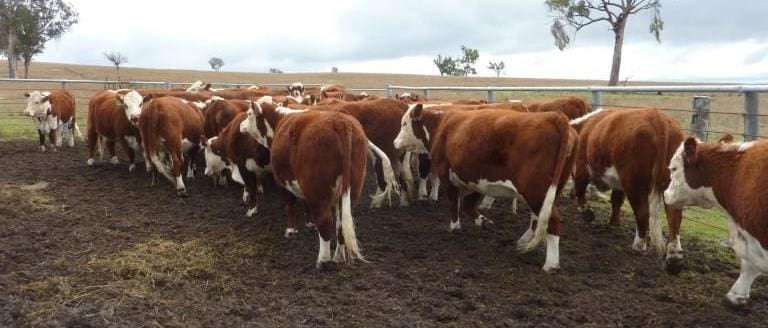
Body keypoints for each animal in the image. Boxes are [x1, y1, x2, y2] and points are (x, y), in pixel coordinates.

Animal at [243, 103, 400, 270]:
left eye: (249, 114)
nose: (241, 126)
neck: (279, 120)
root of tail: (341, 122)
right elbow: (306, 205)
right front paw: (309, 223)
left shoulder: (284, 183)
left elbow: (290, 206)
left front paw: (291, 230)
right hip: (350, 189)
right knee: (341, 224)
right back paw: (338, 257)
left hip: (317, 191)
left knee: (325, 222)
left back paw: (323, 261)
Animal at [392, 105, 572, 272]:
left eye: (404, 123)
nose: (394, 142)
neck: (441, 124)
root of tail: (553, 116)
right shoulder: (477, 179)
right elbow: (468, 203)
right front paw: (483, 221)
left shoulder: (446, 175)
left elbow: (454, 202)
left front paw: (454, 227)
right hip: (547, 192)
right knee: (539, 218)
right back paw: (526, 240)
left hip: (535, 191)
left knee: (552, 220)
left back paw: (551, 264)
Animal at [568, 107, 684, 272]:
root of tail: (657, 117)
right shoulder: (619, 184)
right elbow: (616, 200)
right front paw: (614, 222)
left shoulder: (581, 168)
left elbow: (580, 190)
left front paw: (585, 212)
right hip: (670, 183)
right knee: (674, 216)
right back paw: (674, 256)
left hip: (634, 183)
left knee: (642, 213)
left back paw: (639, 245)